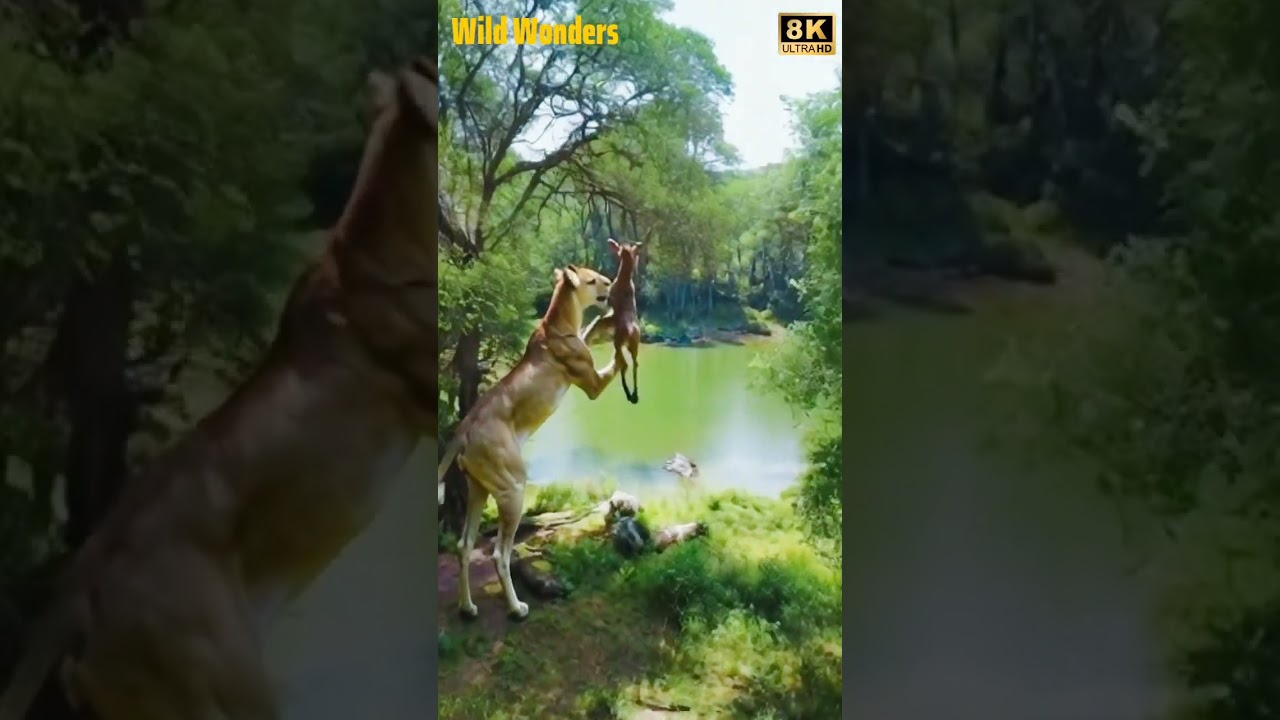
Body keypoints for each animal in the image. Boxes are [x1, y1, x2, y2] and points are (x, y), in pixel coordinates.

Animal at [437, 263, 620, 621]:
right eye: (592, 280)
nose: (609, 282)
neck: (557, 324)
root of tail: (464, 427)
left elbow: (589, 331)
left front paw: (606, 323)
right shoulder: (592, 384)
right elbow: (615, 363)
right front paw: (628, 339)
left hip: (478, 489)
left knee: (465, 546)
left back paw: (468, 608)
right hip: (513, 488)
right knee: (499, 555)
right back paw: (516, 608)